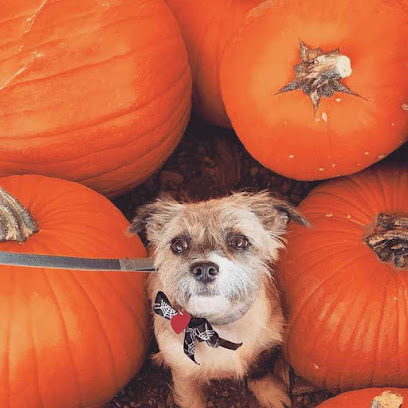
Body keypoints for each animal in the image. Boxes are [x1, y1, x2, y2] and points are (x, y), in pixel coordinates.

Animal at [131, 191, 310, 408]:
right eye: (178, 245)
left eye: (239, 242)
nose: (204, 269)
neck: (218, 326)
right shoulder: (184, 375)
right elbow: (192, 400)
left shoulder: (262, 345)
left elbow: (258, 369)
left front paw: (270, 392)